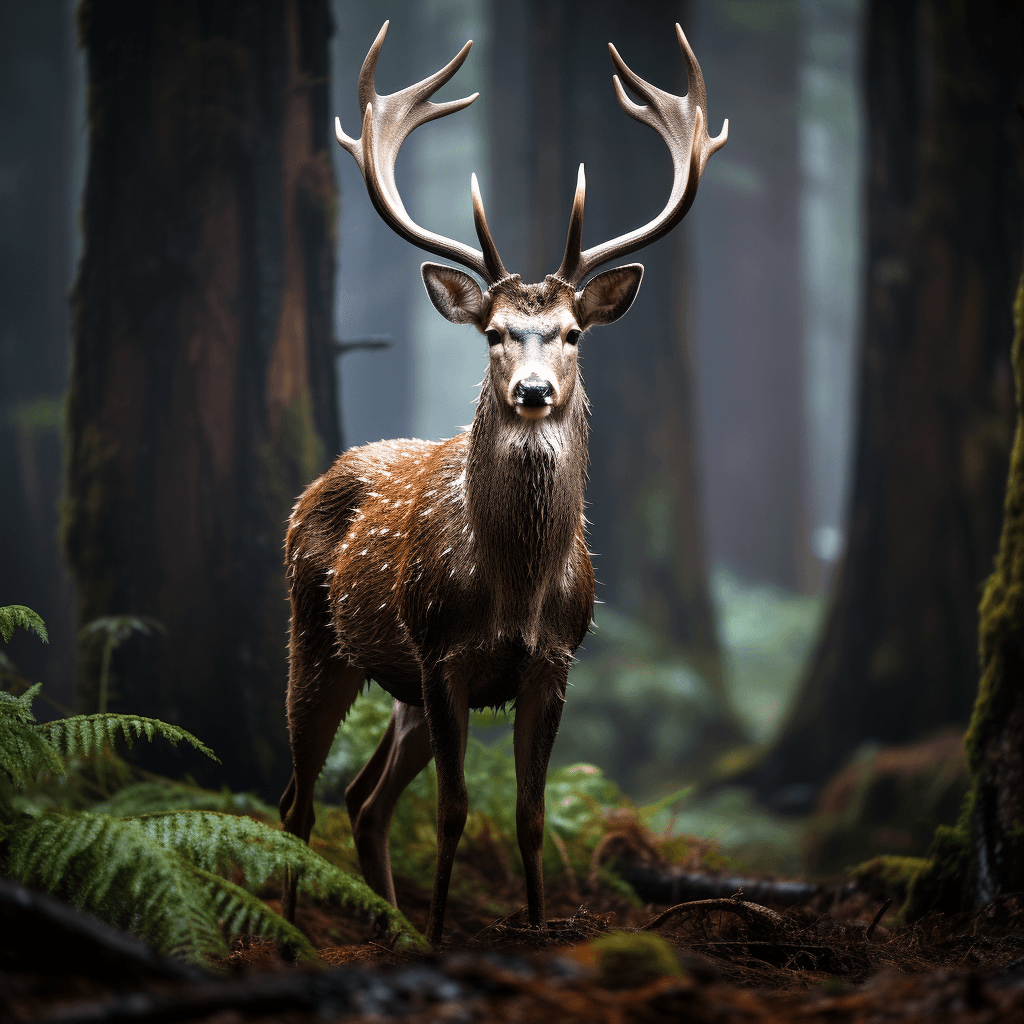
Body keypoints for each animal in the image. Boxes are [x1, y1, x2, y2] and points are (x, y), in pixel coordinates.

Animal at [278, 20, 727, 947]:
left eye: (570, 334)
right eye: (492, 332)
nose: (532, 392)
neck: (515, 588)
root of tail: (316, 484)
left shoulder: (552, 661)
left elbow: (528, 813)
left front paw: (532, 924)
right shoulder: (442, 653)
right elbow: (455, 811)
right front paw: (445, 932)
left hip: (402, 690)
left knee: (361, 799)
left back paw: (390, 923)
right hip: (316, 636)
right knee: (298, 799)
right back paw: (302, 927)